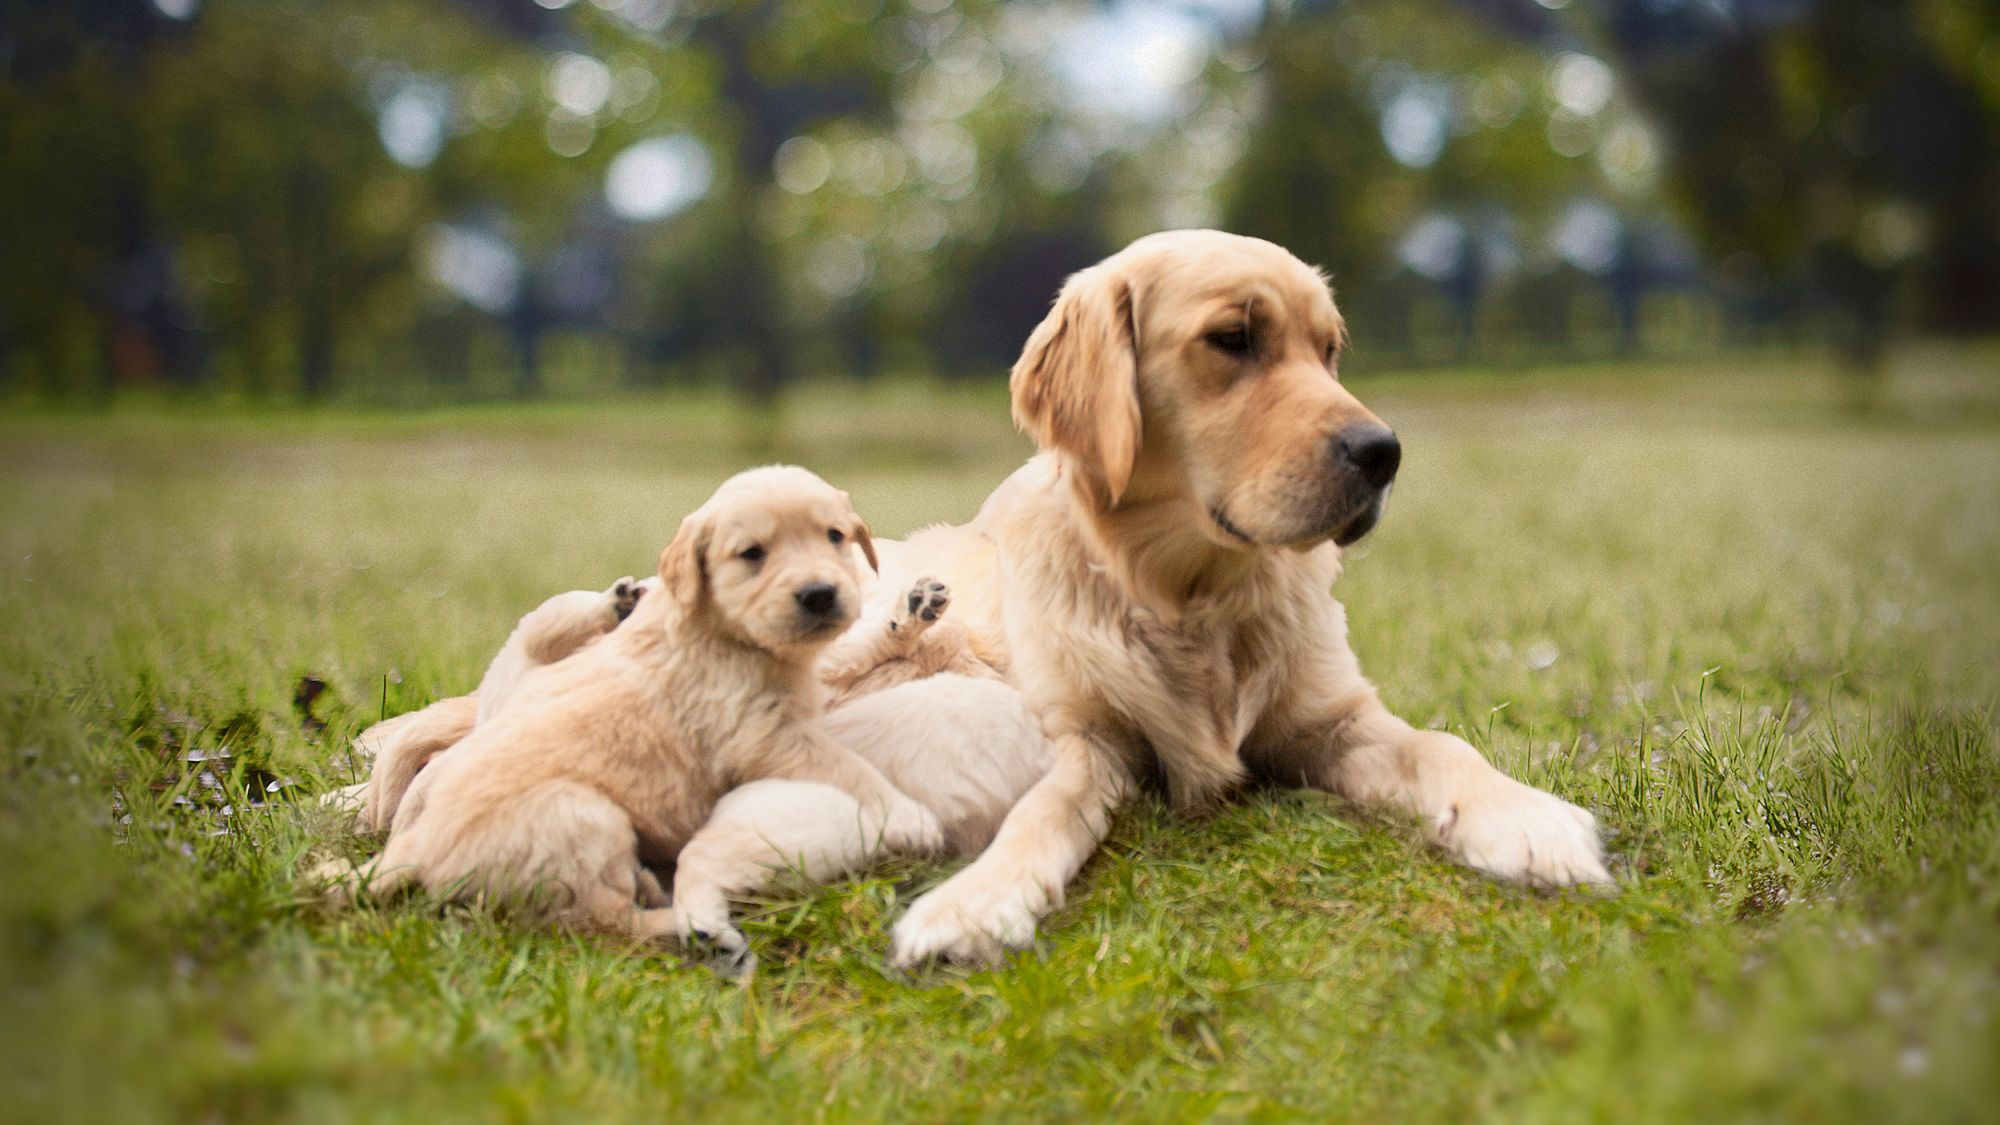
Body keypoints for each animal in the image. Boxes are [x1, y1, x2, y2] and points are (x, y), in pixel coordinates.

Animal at [328, 464, 944, 944]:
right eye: (752, 554)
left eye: (834, 536)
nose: (819, 594)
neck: (722, 630)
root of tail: (415, 849)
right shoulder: (762, 735)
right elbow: (849, 770)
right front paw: (912, 818)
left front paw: (910, 611)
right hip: (582, 814)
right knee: (599, 921)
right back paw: (686, 922)